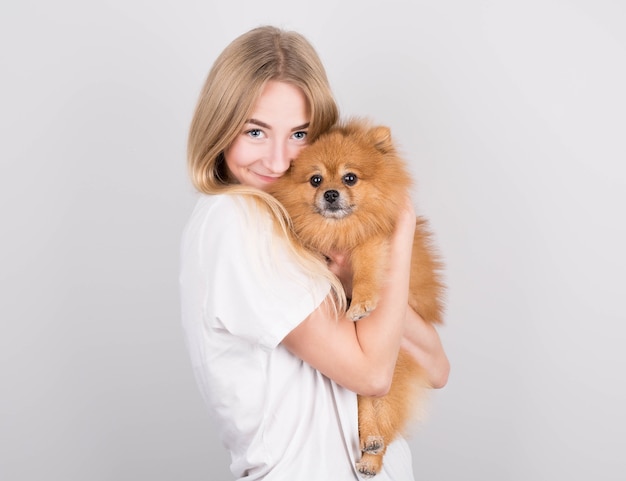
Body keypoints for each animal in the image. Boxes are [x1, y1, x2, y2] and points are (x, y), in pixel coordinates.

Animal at [268, 118, 444, 474]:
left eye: (350, 177)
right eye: (316, 179)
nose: (331, 194)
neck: (340, 229)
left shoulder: (372, 242)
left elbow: (365, 269)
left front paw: (362, 301)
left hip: (394, 369)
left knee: (383, 412)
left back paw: (373, 454)